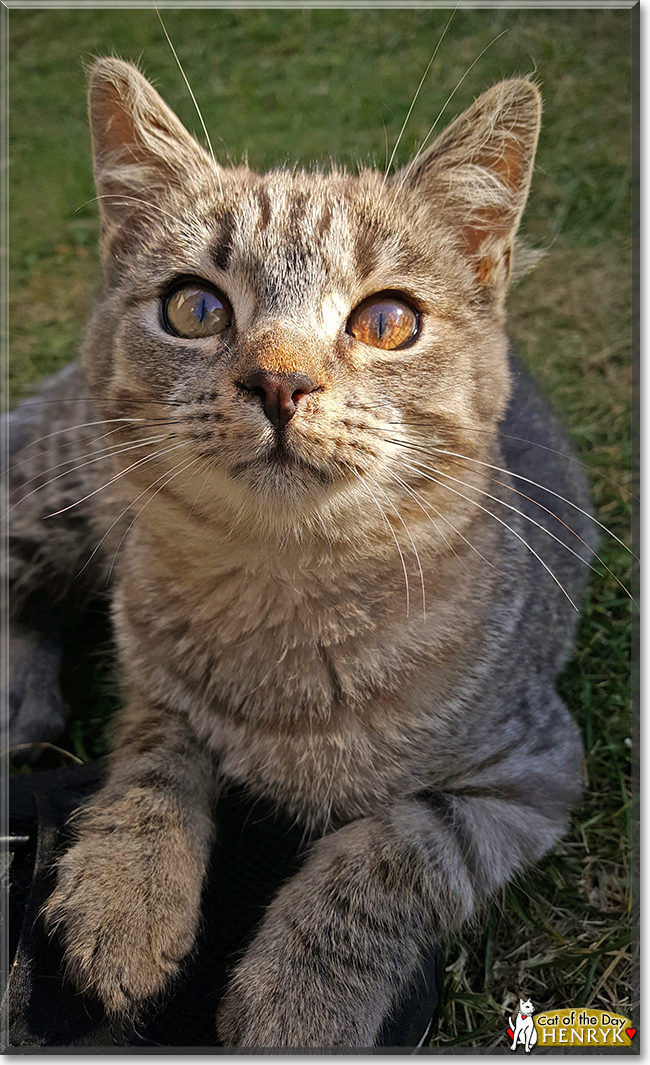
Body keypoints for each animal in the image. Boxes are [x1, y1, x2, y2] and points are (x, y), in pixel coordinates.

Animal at [7, 60, 592, 1047]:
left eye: (388, 321)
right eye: (195, 307)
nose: (280, 381)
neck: (287, 593)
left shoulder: (530, 772)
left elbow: (391, 853)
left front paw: (302, 997)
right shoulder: (152, 669)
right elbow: (151, 762)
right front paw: (127, 894)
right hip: (62, 489)